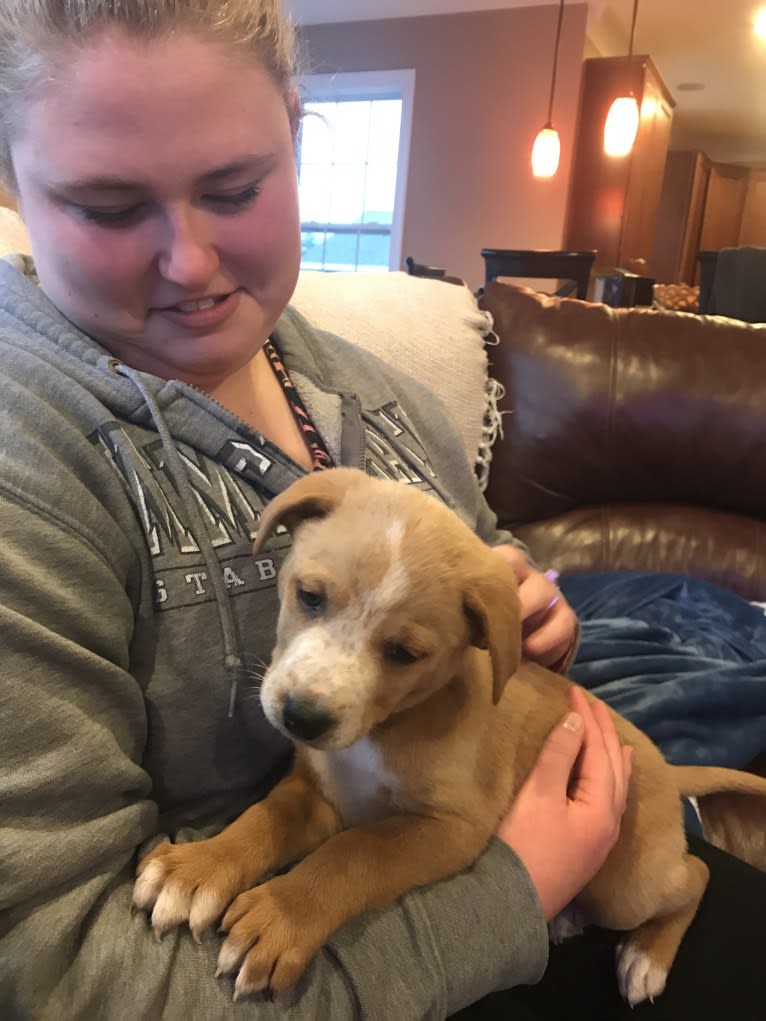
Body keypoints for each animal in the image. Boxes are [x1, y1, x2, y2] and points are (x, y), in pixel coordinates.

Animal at [134, 467, 766, 1004]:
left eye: (403, 653)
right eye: (309, 596)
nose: (301, 718)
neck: (383, 730)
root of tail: (664, 765)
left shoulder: (449, 826)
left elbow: (352, 853)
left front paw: (281, 914)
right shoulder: (319, 789)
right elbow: (263, 818)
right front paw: (196, 869)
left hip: (626, 882)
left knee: (694, 876)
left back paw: (646, 957)